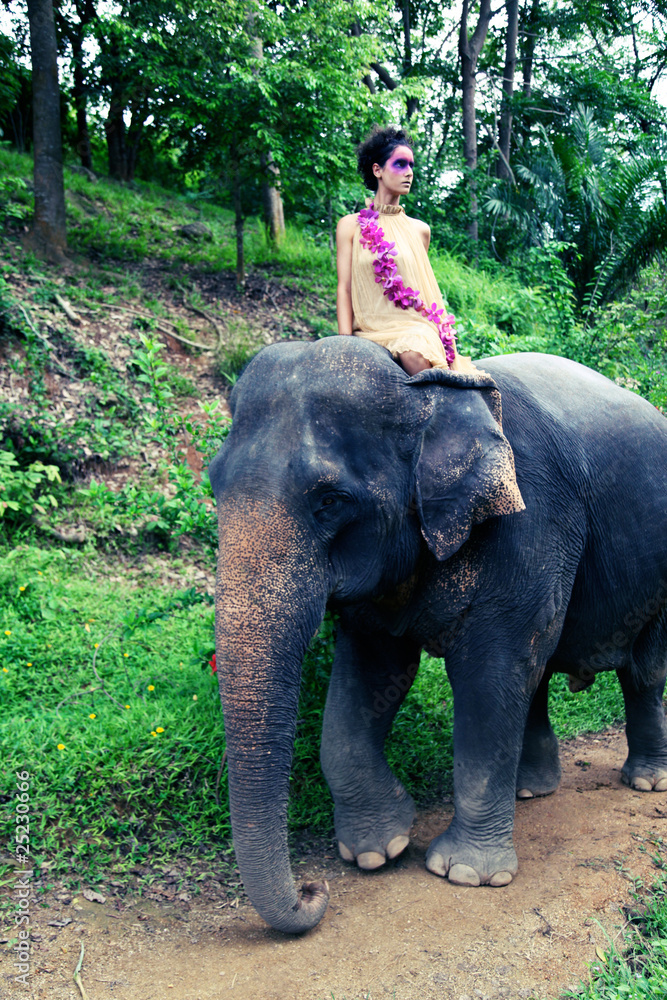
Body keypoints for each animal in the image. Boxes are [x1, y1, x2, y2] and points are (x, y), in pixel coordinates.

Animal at [209, 335, 667, 934]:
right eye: (212, 483)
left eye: (330, 500)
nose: (314, 890)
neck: (427, 392)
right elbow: (374, 671)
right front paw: (376, 850)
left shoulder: (530, 521)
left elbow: (489, 673)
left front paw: (466, 874)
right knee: (540, 669)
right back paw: (530, 789)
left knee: (642, 670)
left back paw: (646, 782)